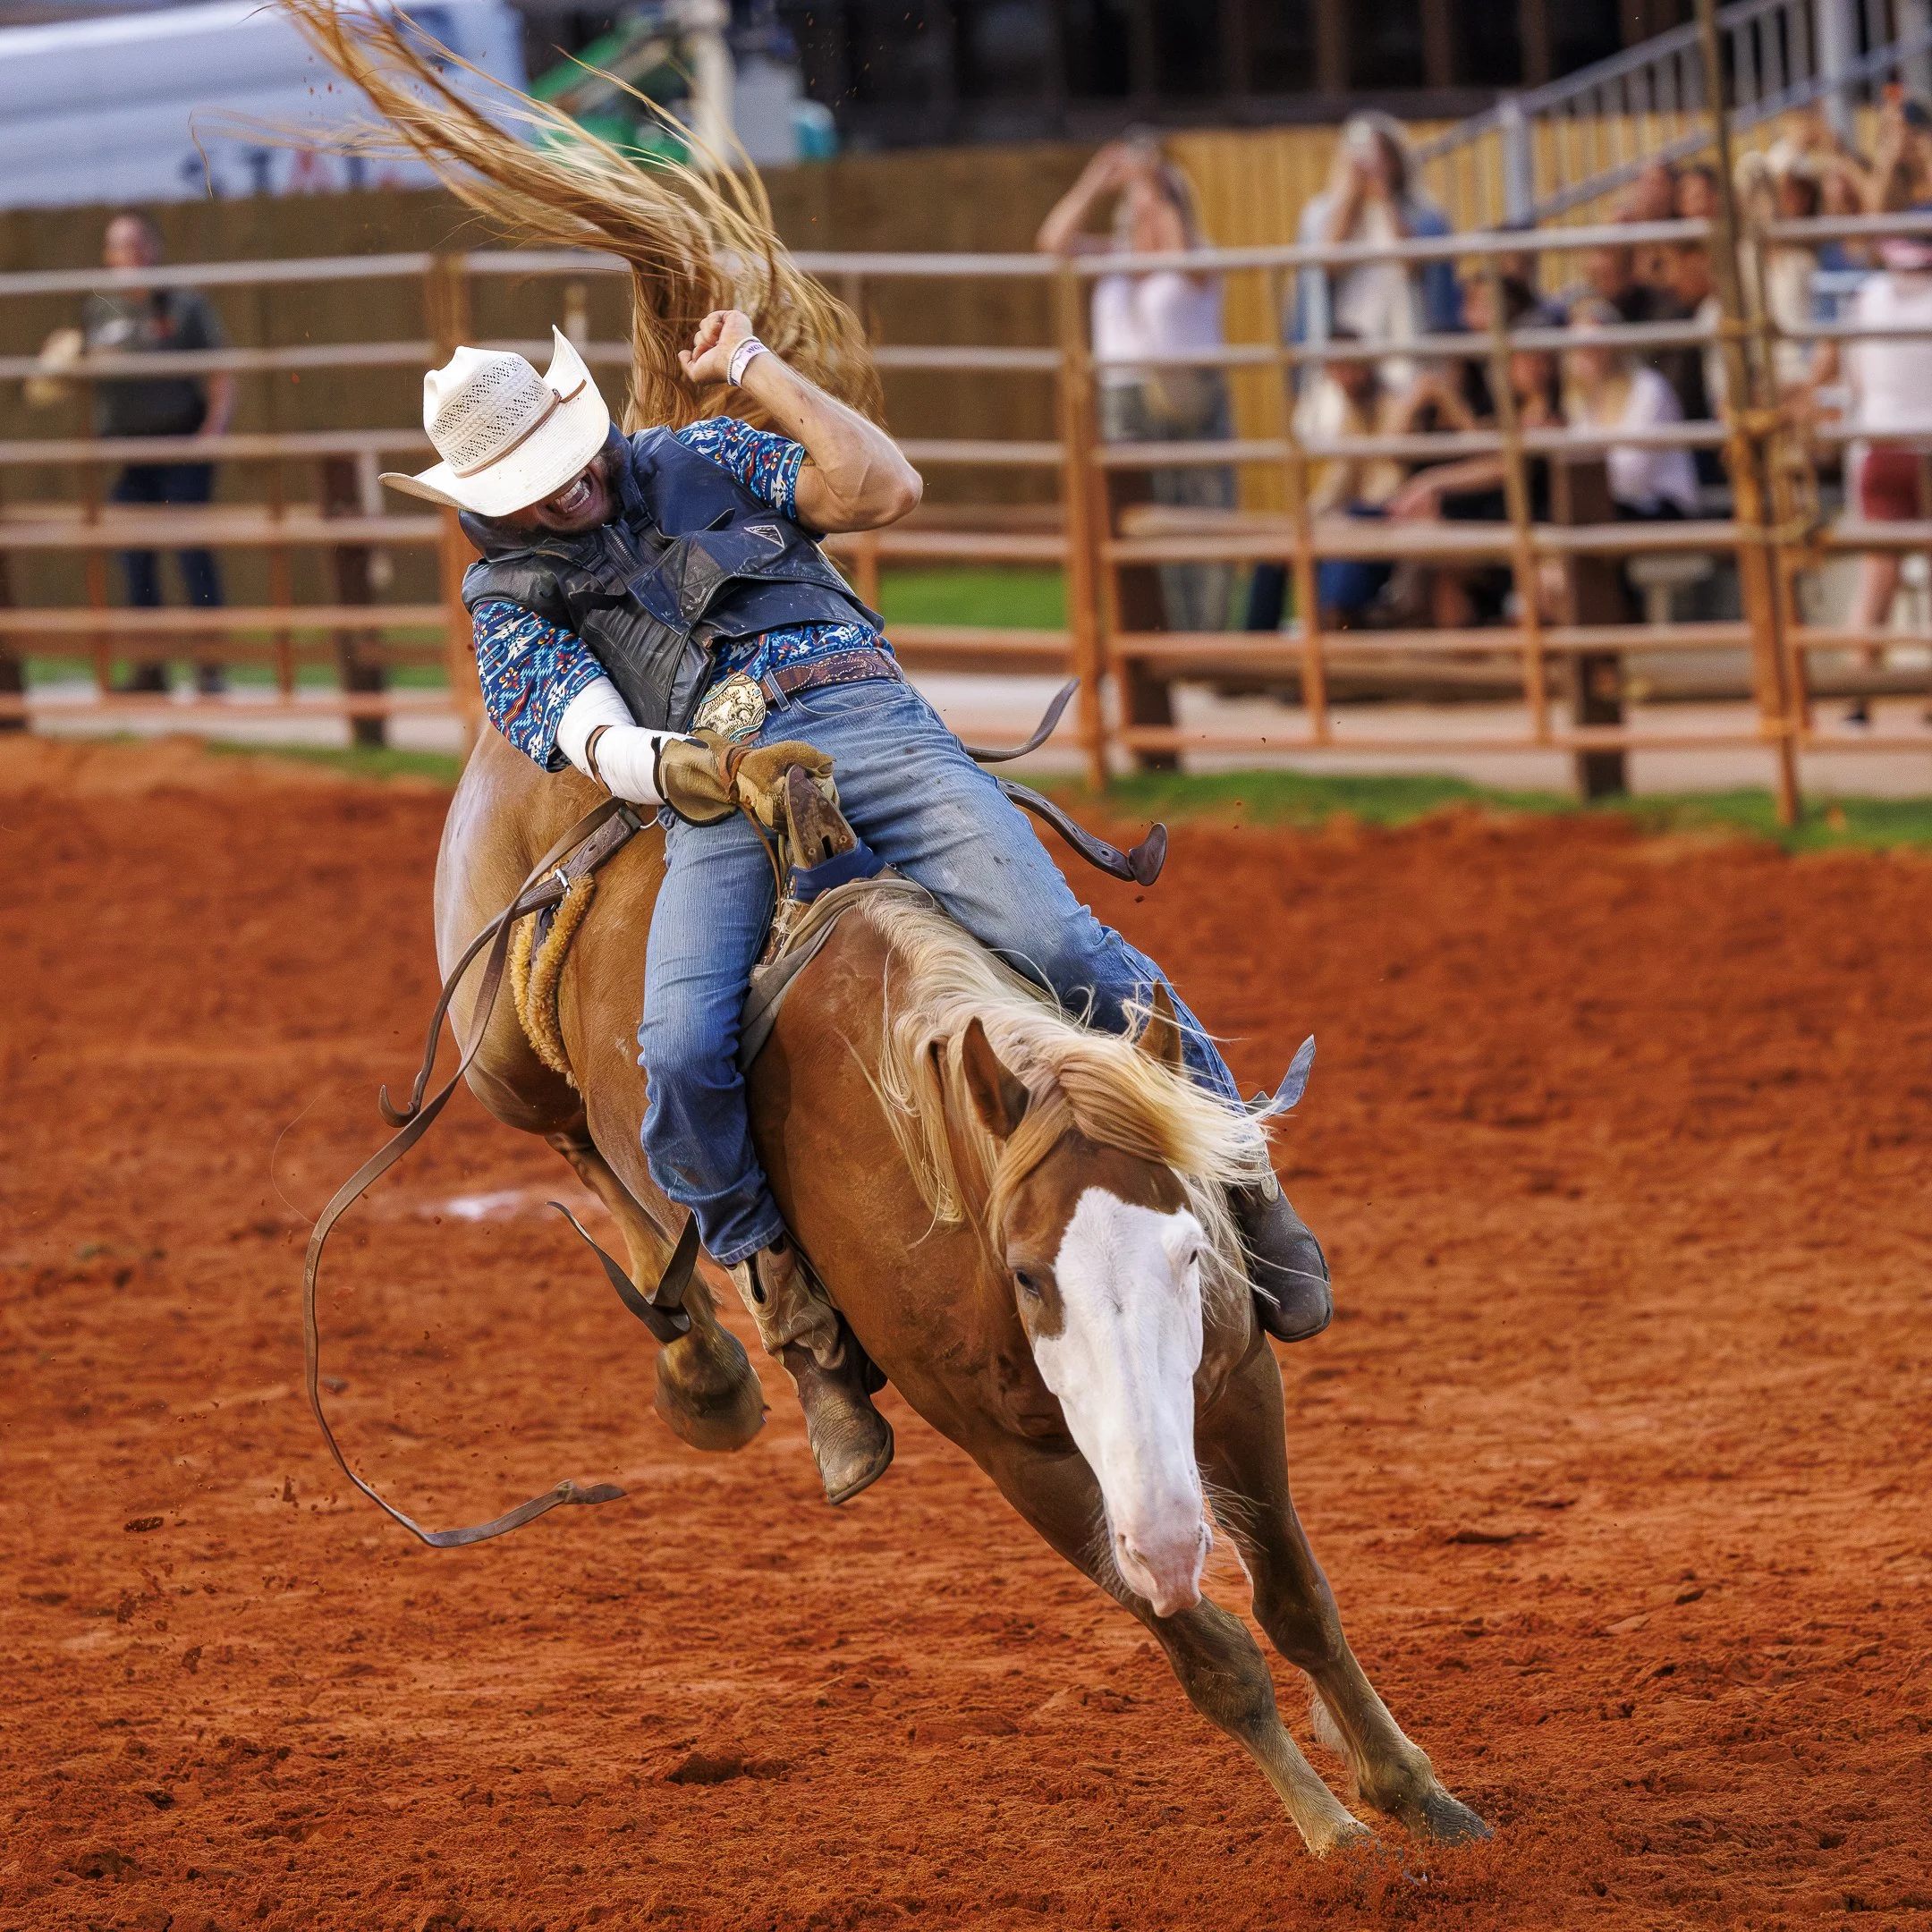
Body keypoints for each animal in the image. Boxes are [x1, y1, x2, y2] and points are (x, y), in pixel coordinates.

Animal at [433, 727, 1491, 1857]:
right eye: (1025, 1272)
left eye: (1196, 1250)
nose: (1168, 1536)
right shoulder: (1019, 1457)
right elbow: (1213, 1657)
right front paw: (1335, 1837)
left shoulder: (1236, 1379)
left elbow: (1296, 1601)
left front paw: (1411, 1790)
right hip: (500, 1060)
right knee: (576, 1144)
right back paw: (709, 1370)